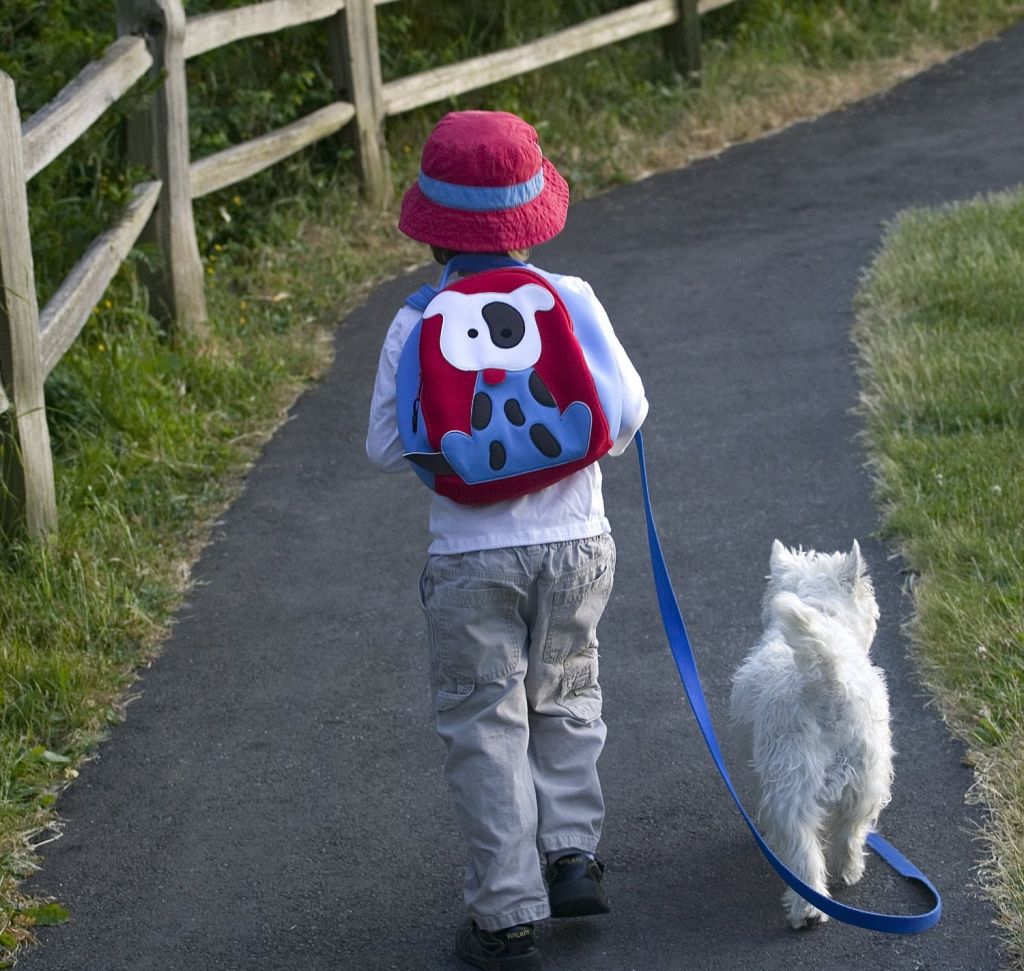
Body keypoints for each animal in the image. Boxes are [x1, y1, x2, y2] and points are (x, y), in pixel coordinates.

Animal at [733, 540, 892, 930]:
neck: (823, 612)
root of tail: (828, 680)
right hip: (868, 773)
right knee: (851, 828)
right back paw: (847, 870)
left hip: (793, 775)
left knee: (802, 845)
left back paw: (806, 908)